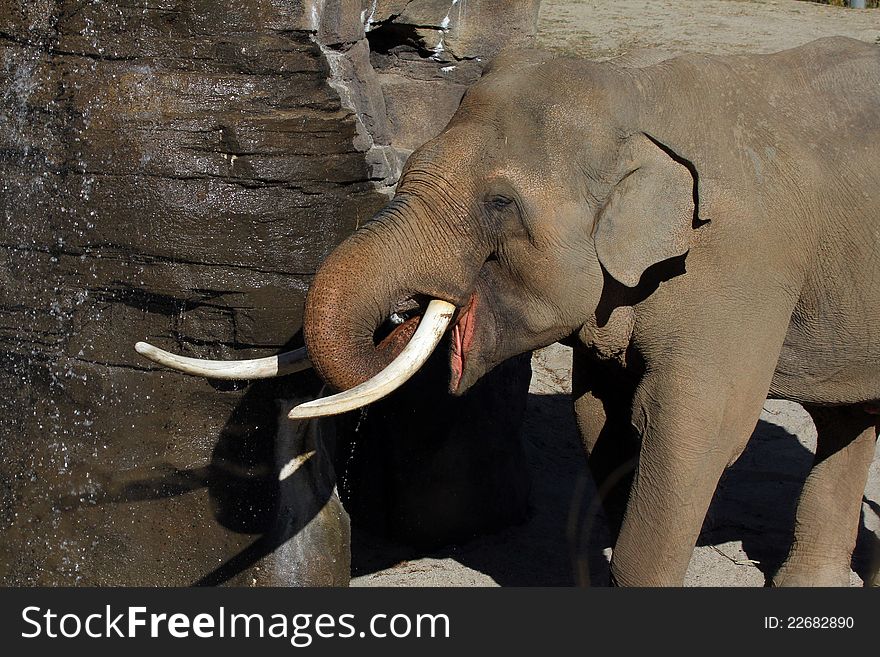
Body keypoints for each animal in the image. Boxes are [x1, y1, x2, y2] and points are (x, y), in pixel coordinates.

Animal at [138, 36, 880, 584]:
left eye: (499, 205)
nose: (402, 313)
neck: (638, 95)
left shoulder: (743, 271)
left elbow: (694, 430)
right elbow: (602, 415)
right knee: (846, 420)